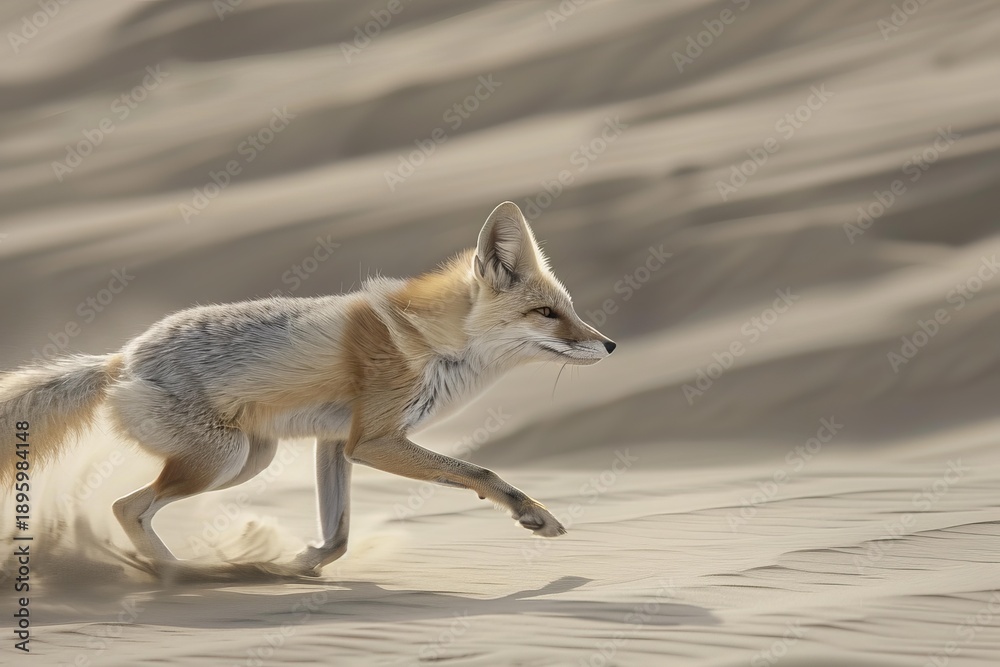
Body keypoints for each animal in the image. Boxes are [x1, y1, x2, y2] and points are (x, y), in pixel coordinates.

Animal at [0, 202, 615, 574]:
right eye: (546, 314)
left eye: (570, 310)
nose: (610, 346)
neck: (433, 345)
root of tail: (119, 358)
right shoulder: (374, 441)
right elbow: (480, 472)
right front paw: (533, 515)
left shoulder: (336, 443)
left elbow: (338, 535)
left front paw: (301, 566)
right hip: (222, 461)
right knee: (127, 507)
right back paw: (180, 576)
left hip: (252, 459)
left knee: (131, 508)